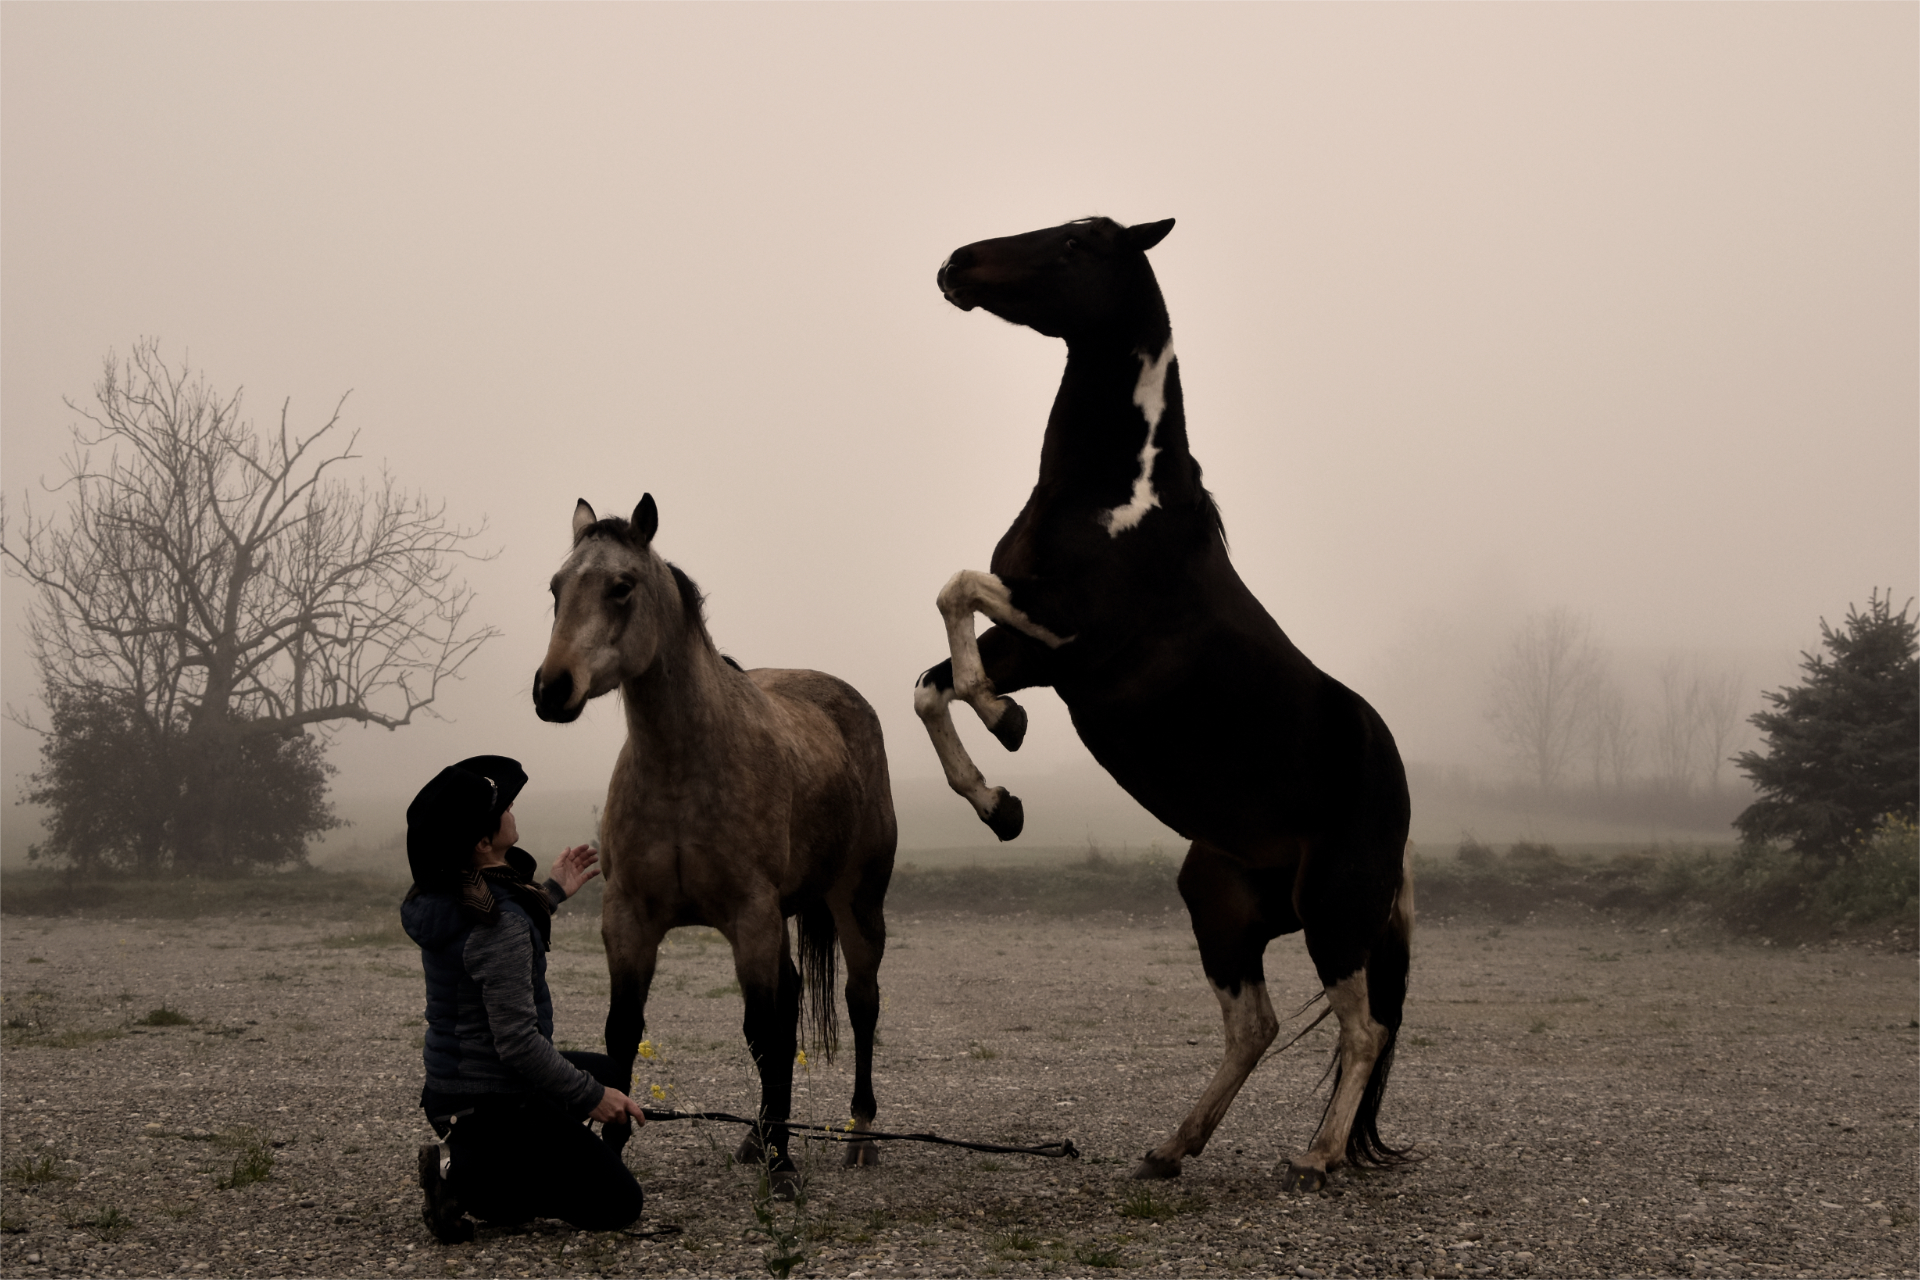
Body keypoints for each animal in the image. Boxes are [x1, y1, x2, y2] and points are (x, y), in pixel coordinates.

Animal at [533, 495, 898, 1189]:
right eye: (556, 588)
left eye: (622, 586)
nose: (551, 688)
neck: (683, 765)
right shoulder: (629, 920)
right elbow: (623, 1032)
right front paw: (615, 1145)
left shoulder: (750, 918)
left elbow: (765, 1033)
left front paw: (784, 1170)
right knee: (793, 1003)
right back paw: (758, 1135)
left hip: (856, 905)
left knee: (861, 1003)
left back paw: (860, 1136)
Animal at [913, 217, 1413, 1189]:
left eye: (1075, 244)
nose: (956, 264)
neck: (1119, 500)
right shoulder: (1034, 651)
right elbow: (931, 679)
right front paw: (1000, 798)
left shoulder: (1069, 634)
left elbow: (956, 591)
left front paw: (1002, 725)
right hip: (1219, 900)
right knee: (1255, 1025)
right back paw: (1171, 1148)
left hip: (1337, 904)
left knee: (1363, 1027)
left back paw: (1316, 1158)